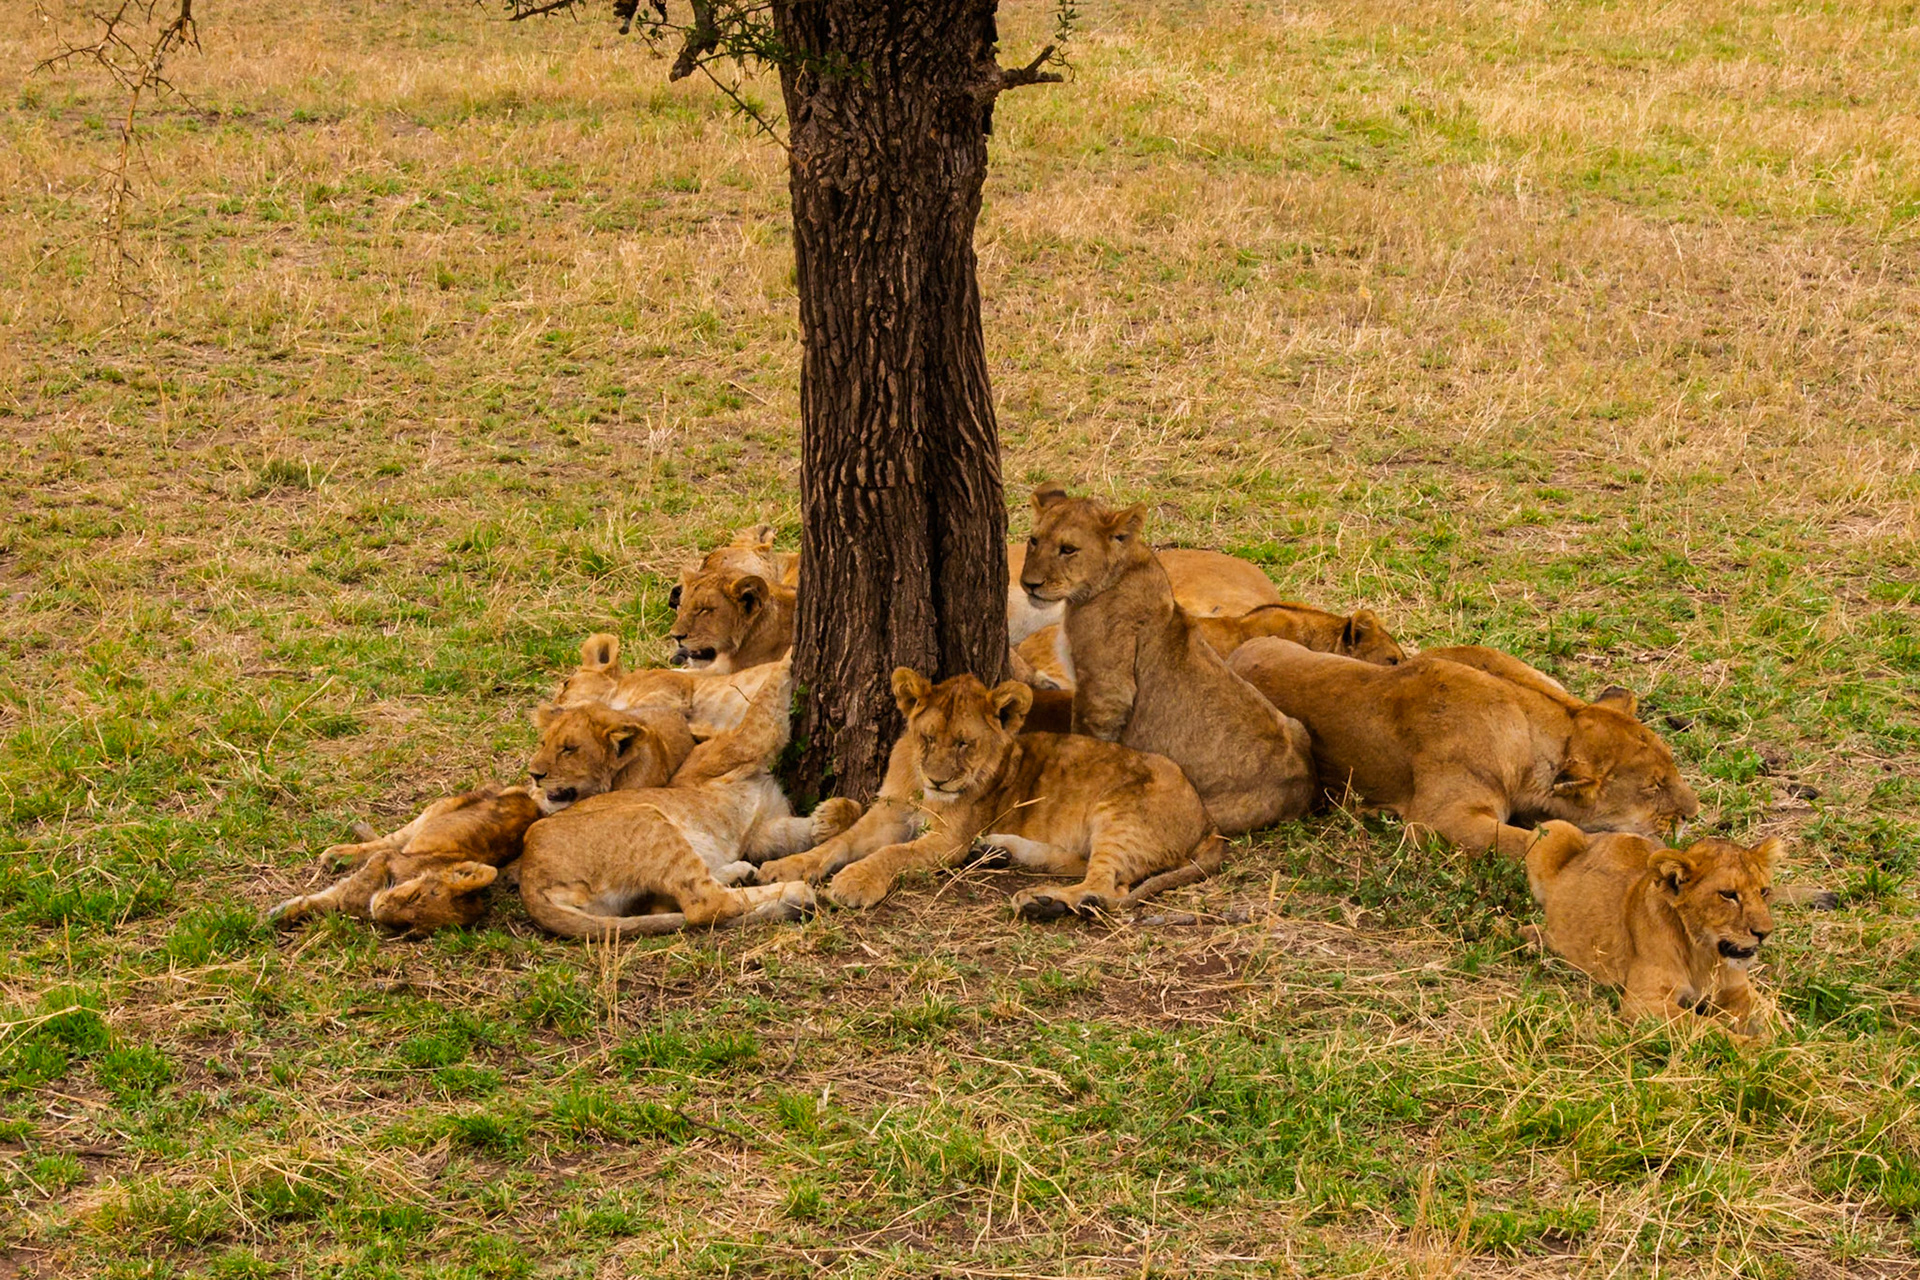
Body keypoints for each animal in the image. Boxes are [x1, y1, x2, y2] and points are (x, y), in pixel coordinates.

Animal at [267, 785, 541, 933]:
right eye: (415, 897)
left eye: (411, 927)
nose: (379, 910)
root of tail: (526, 795)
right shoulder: (386, 858)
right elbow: (348, 891)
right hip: (439, 810)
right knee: (390, 838)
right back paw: (337, 855)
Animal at [517, 659, 864, 939]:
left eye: (568, 749)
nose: (535, 774)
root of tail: (528, 881)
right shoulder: (739, 747)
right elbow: (766, 701)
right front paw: (787, 655)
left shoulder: (760, 830)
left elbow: (799, 834)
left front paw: (834, 813)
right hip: (647, 818)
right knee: (708, 906)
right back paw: (793, 894)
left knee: (676, 903)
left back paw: (742, 872)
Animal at [754, 668, 1223, 916]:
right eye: (927, 738)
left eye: (965, 743)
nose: (940, 781)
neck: (921, 788)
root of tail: (1209, 821)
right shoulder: (888, 812)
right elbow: (838, 843)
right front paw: (787, 867)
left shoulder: (948, 840)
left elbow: (893, 853)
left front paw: (854, 881)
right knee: (1083, 866)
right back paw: (1002, 852)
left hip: (1118, 814)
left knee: (1107, 887)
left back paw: (1041, 902)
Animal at [1016, 485, 1315, 834]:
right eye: (1034, 540)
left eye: (1068, 549)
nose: (1029, 584)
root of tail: (1304, 785)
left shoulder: (1106, 688)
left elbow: (1087, 735)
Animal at [1525, 820, 1778, 1032]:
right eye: (1728, 895)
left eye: (1764, 891)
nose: (1765, 933)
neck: (1704, 955)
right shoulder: (1643, 1002)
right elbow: (1704, 1026)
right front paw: (1747, 1047)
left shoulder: (1738, 991)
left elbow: (1771, 1016)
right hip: (1552, 829)